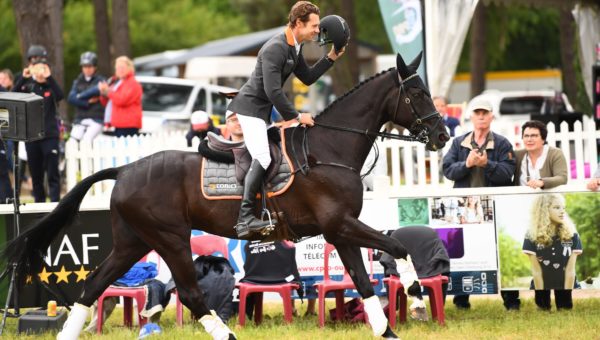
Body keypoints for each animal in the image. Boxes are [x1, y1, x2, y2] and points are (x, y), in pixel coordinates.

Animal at [2, 53, 448, 340]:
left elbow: (364, 280)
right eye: (417, 94)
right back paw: (227, 334)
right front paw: (417, 297)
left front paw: (388, 328)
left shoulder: (340, 230)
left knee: (94, 285)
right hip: (171, 238)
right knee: (190, 293)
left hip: (133, 242)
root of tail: (125, 170)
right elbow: (396, 248)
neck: (330, 149)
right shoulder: (342, 224)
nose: (442, 135)